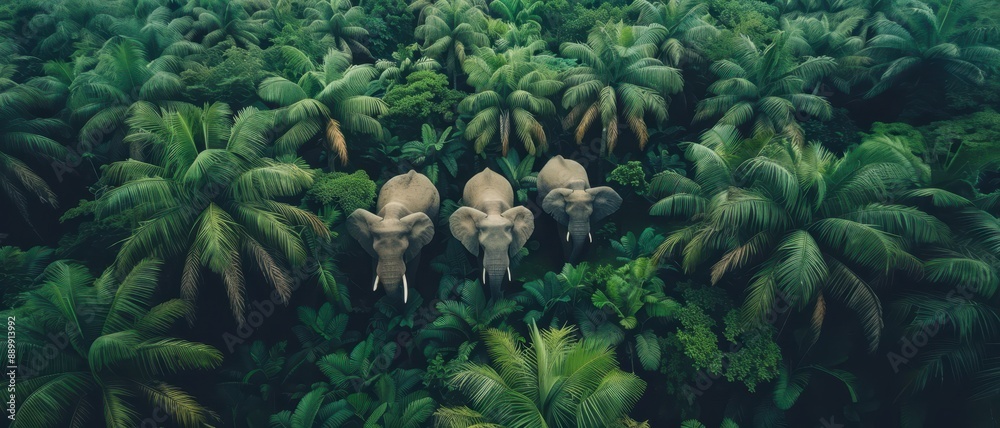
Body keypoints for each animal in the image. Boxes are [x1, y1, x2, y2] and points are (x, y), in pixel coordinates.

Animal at [347, 170, 440, 303]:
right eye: (376, 250)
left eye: (404, 251)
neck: (392, 215)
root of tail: (414, 171)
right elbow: (374, 262)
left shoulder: (415, 243)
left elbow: (413, 263)